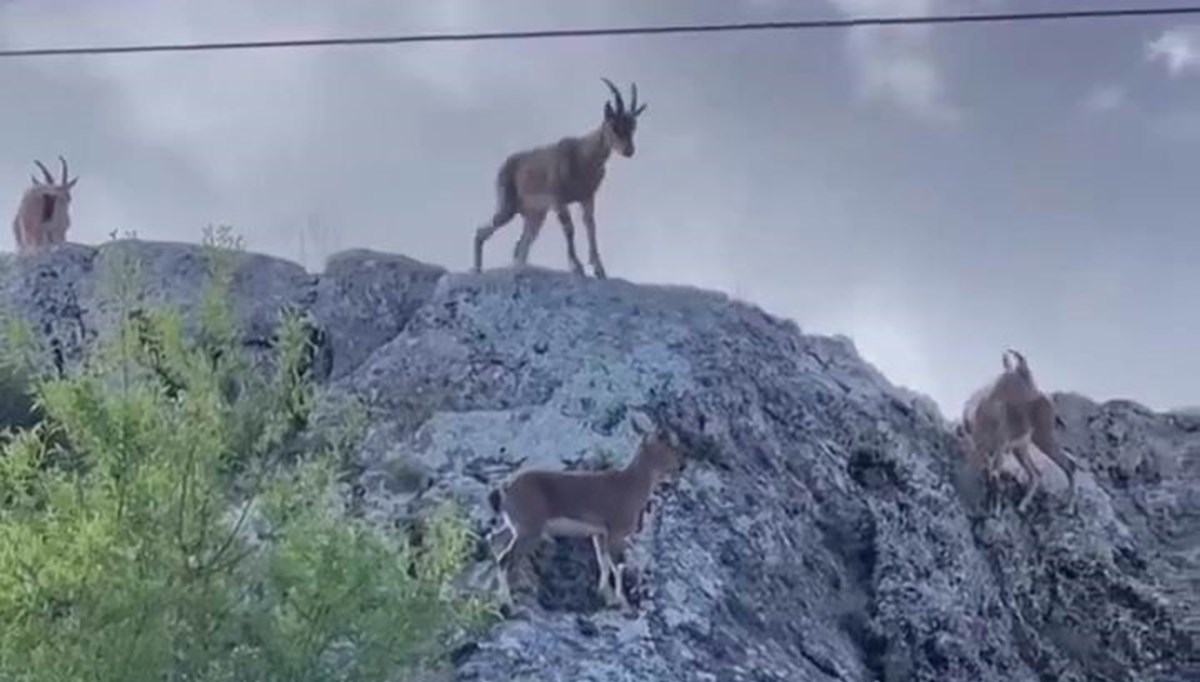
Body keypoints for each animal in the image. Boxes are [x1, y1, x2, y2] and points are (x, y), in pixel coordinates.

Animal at [468, 78, 648, 280]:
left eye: (633, 127)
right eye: (614, 125)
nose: (629, 151)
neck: (583, 156)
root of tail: (506, 165)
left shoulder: (587, 198)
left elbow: (591, 227)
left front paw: (600, 270)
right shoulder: (558, 200)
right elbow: (569, 229)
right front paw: (577, 267)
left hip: (535, 215)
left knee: (521, 245)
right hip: (508, 207)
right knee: (483, 233)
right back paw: (476, 269)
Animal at [484, 413, 686, 609]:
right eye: (667, 442)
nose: (681, 465)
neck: (631, 486)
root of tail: (504, 487)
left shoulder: (599, 534)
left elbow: (603, 563)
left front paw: (605, 596)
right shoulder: (616, 532)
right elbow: (617, 566)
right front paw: (620, 601)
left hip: (514, 525)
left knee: (495, 539)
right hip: (529, 530)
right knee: (505, 558)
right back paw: (507, 602)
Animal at [955, 348, 1080, 513]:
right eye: (1023, 374)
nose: (1035, 394)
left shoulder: (998, 450)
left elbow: (994, 478)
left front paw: (995, 511)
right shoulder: (978, 447)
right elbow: (975, 470)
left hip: (1043, 440)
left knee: (1068, 465)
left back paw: (1068, 508)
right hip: (1020, 450)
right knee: (1036, 474)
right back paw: (1022, 506)